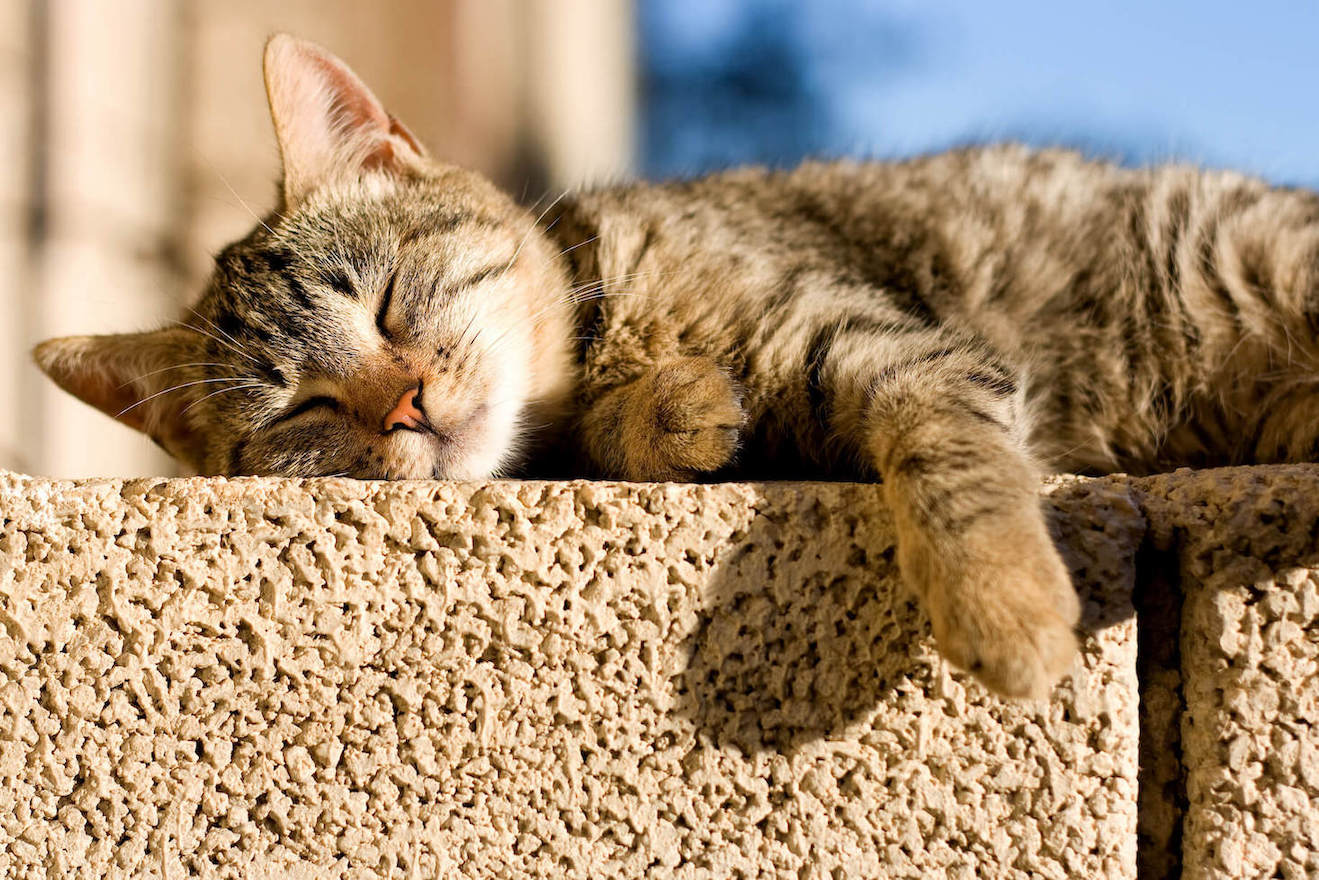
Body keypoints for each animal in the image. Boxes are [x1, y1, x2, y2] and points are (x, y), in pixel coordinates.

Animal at [28, 34, 1319, 701]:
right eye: (299, 409)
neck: (611, 318)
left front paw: (1005, 605)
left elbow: (954, 475)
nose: (405, 404)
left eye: (384, 299)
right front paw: (674, 412)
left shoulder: (888, 344)